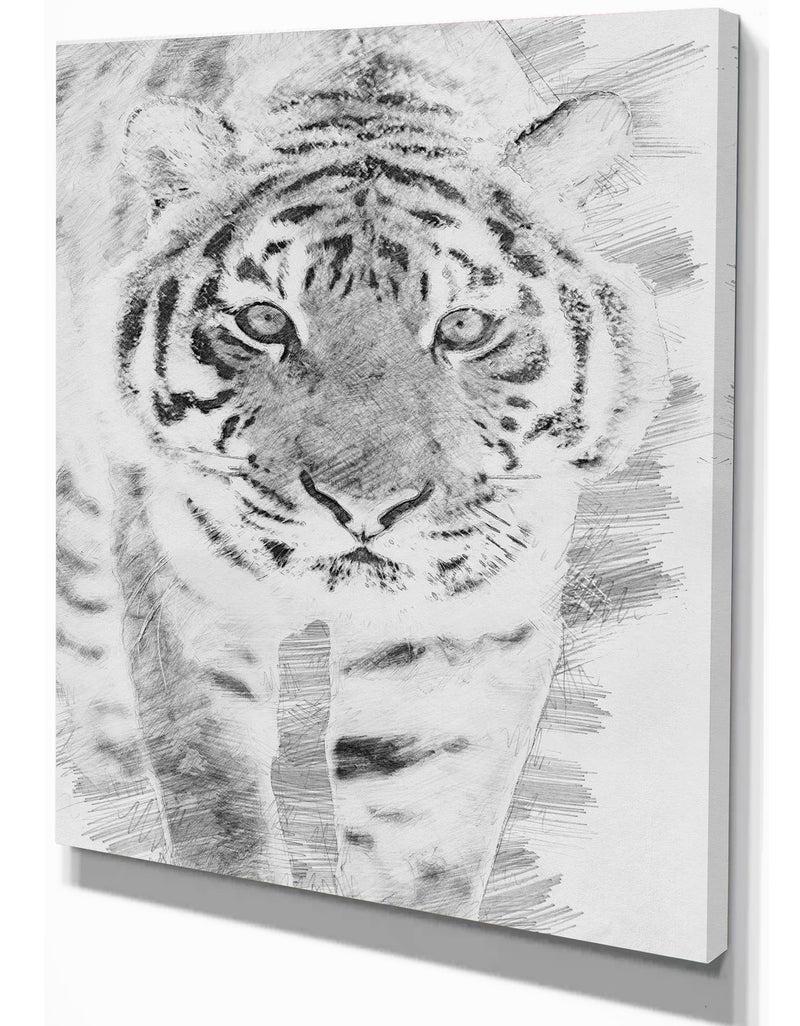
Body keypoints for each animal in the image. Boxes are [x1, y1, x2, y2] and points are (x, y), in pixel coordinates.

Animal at [56, 27, 669, 919]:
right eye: (264, 320)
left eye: (465, 327)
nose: (363, 505)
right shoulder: (187, 594)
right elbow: (218, 802)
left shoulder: (459, 635)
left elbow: (422, 841)